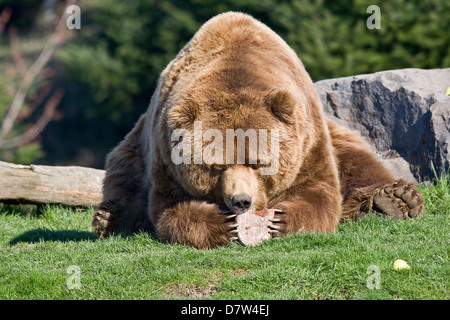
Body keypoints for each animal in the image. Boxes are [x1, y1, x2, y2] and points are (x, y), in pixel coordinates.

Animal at [92, 11, 426, 248]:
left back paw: (395, 199)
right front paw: (221, 224)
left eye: (259, 162)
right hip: (135, 148)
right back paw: (110, 217)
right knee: (124, 178)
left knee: (357, 160)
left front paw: (282, 219)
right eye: (216, 166)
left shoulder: (308, 143)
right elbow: (171, 209)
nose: (242, 201)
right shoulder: (165, 155)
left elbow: (319, 193)